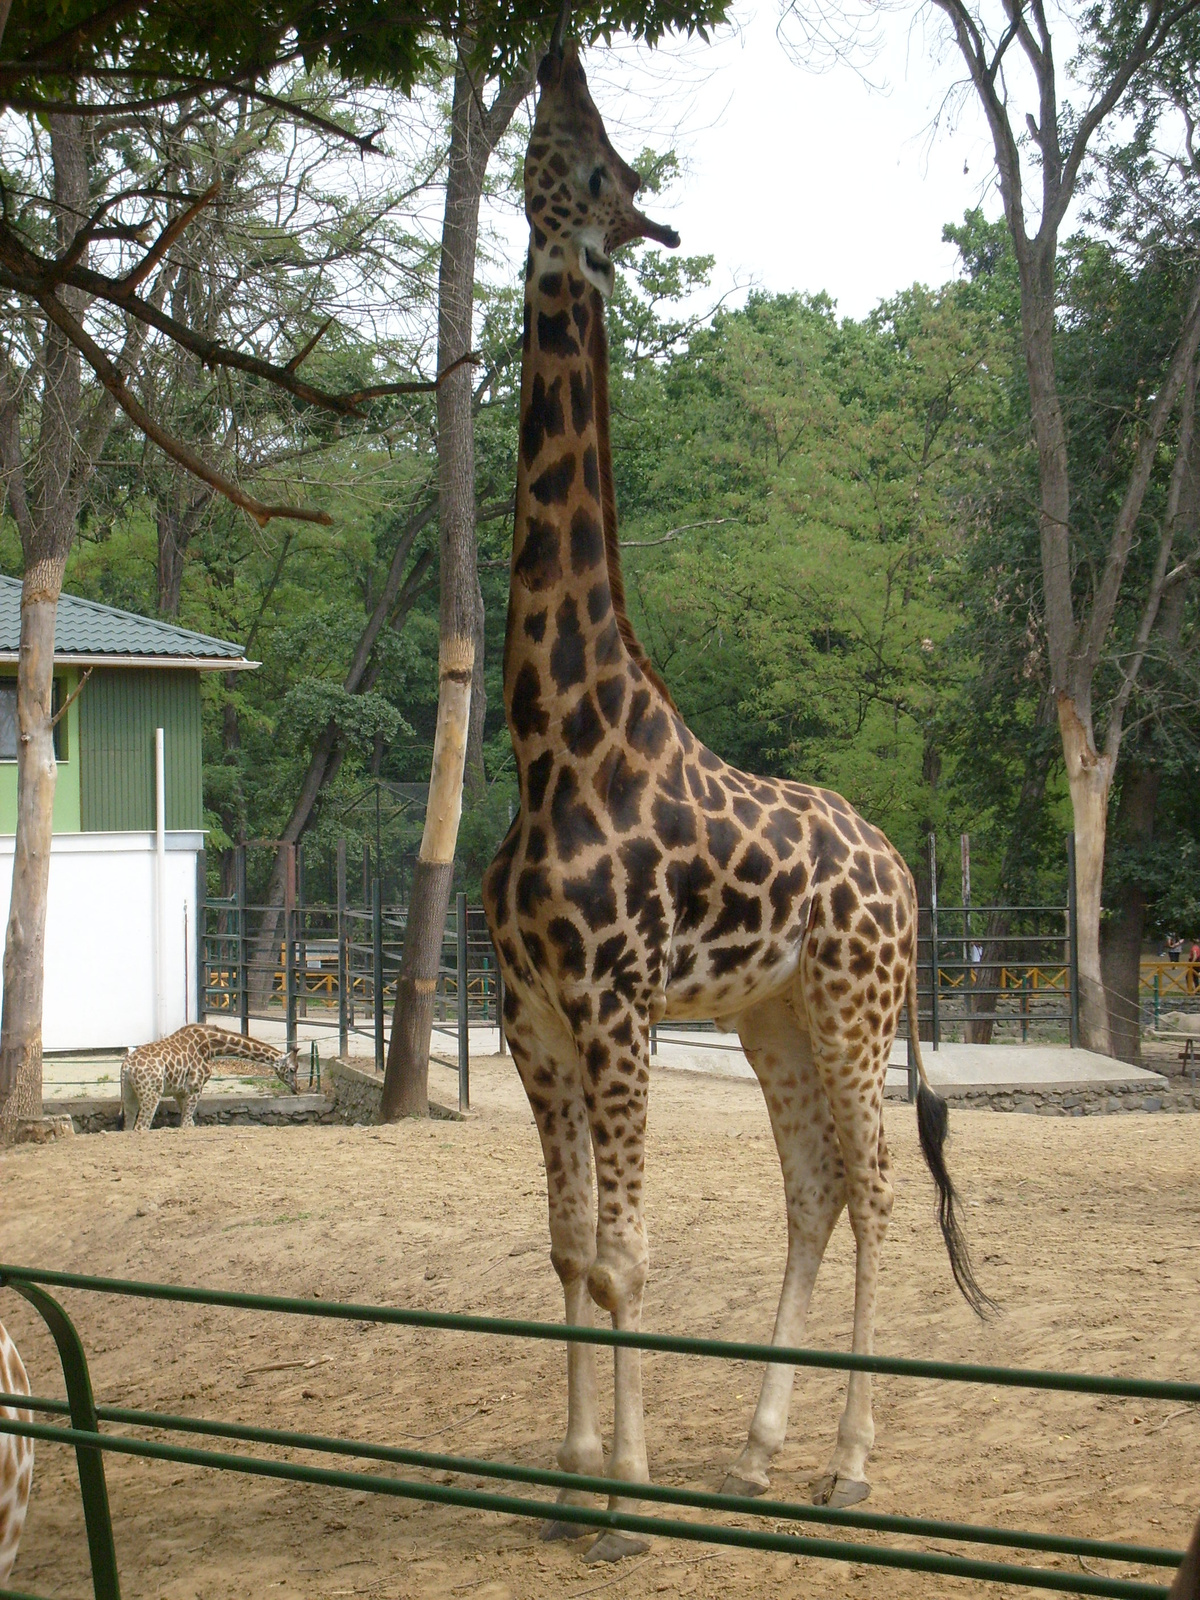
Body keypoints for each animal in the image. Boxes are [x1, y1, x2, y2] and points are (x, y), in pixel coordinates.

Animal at [120, 1017, 300, 1132]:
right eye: (293, 1069)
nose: (297, 1089)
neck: (210, 1046)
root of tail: (126, 1067)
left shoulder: (180, 1092)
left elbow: (189, 1122)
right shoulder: (195, 1087)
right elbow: (186, 1124)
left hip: (130, 1095)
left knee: (128, 1127)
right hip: (151, 1094)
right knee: (141, 1127)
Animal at [483, 37, 992, 1561]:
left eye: (599, 164)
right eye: (563, 142)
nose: (556, 50)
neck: (551, 744)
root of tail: (902, 866)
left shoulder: (614, 1006)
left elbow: (627, 1256)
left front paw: (625, 1502)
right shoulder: (529, 1018)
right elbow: (570, 1249)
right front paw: (571, 1475)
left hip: (852, 1004)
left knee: (877, 1187)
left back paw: (849, 1468)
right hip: (772, 1011)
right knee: (814, 1187)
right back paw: (764, 1458)